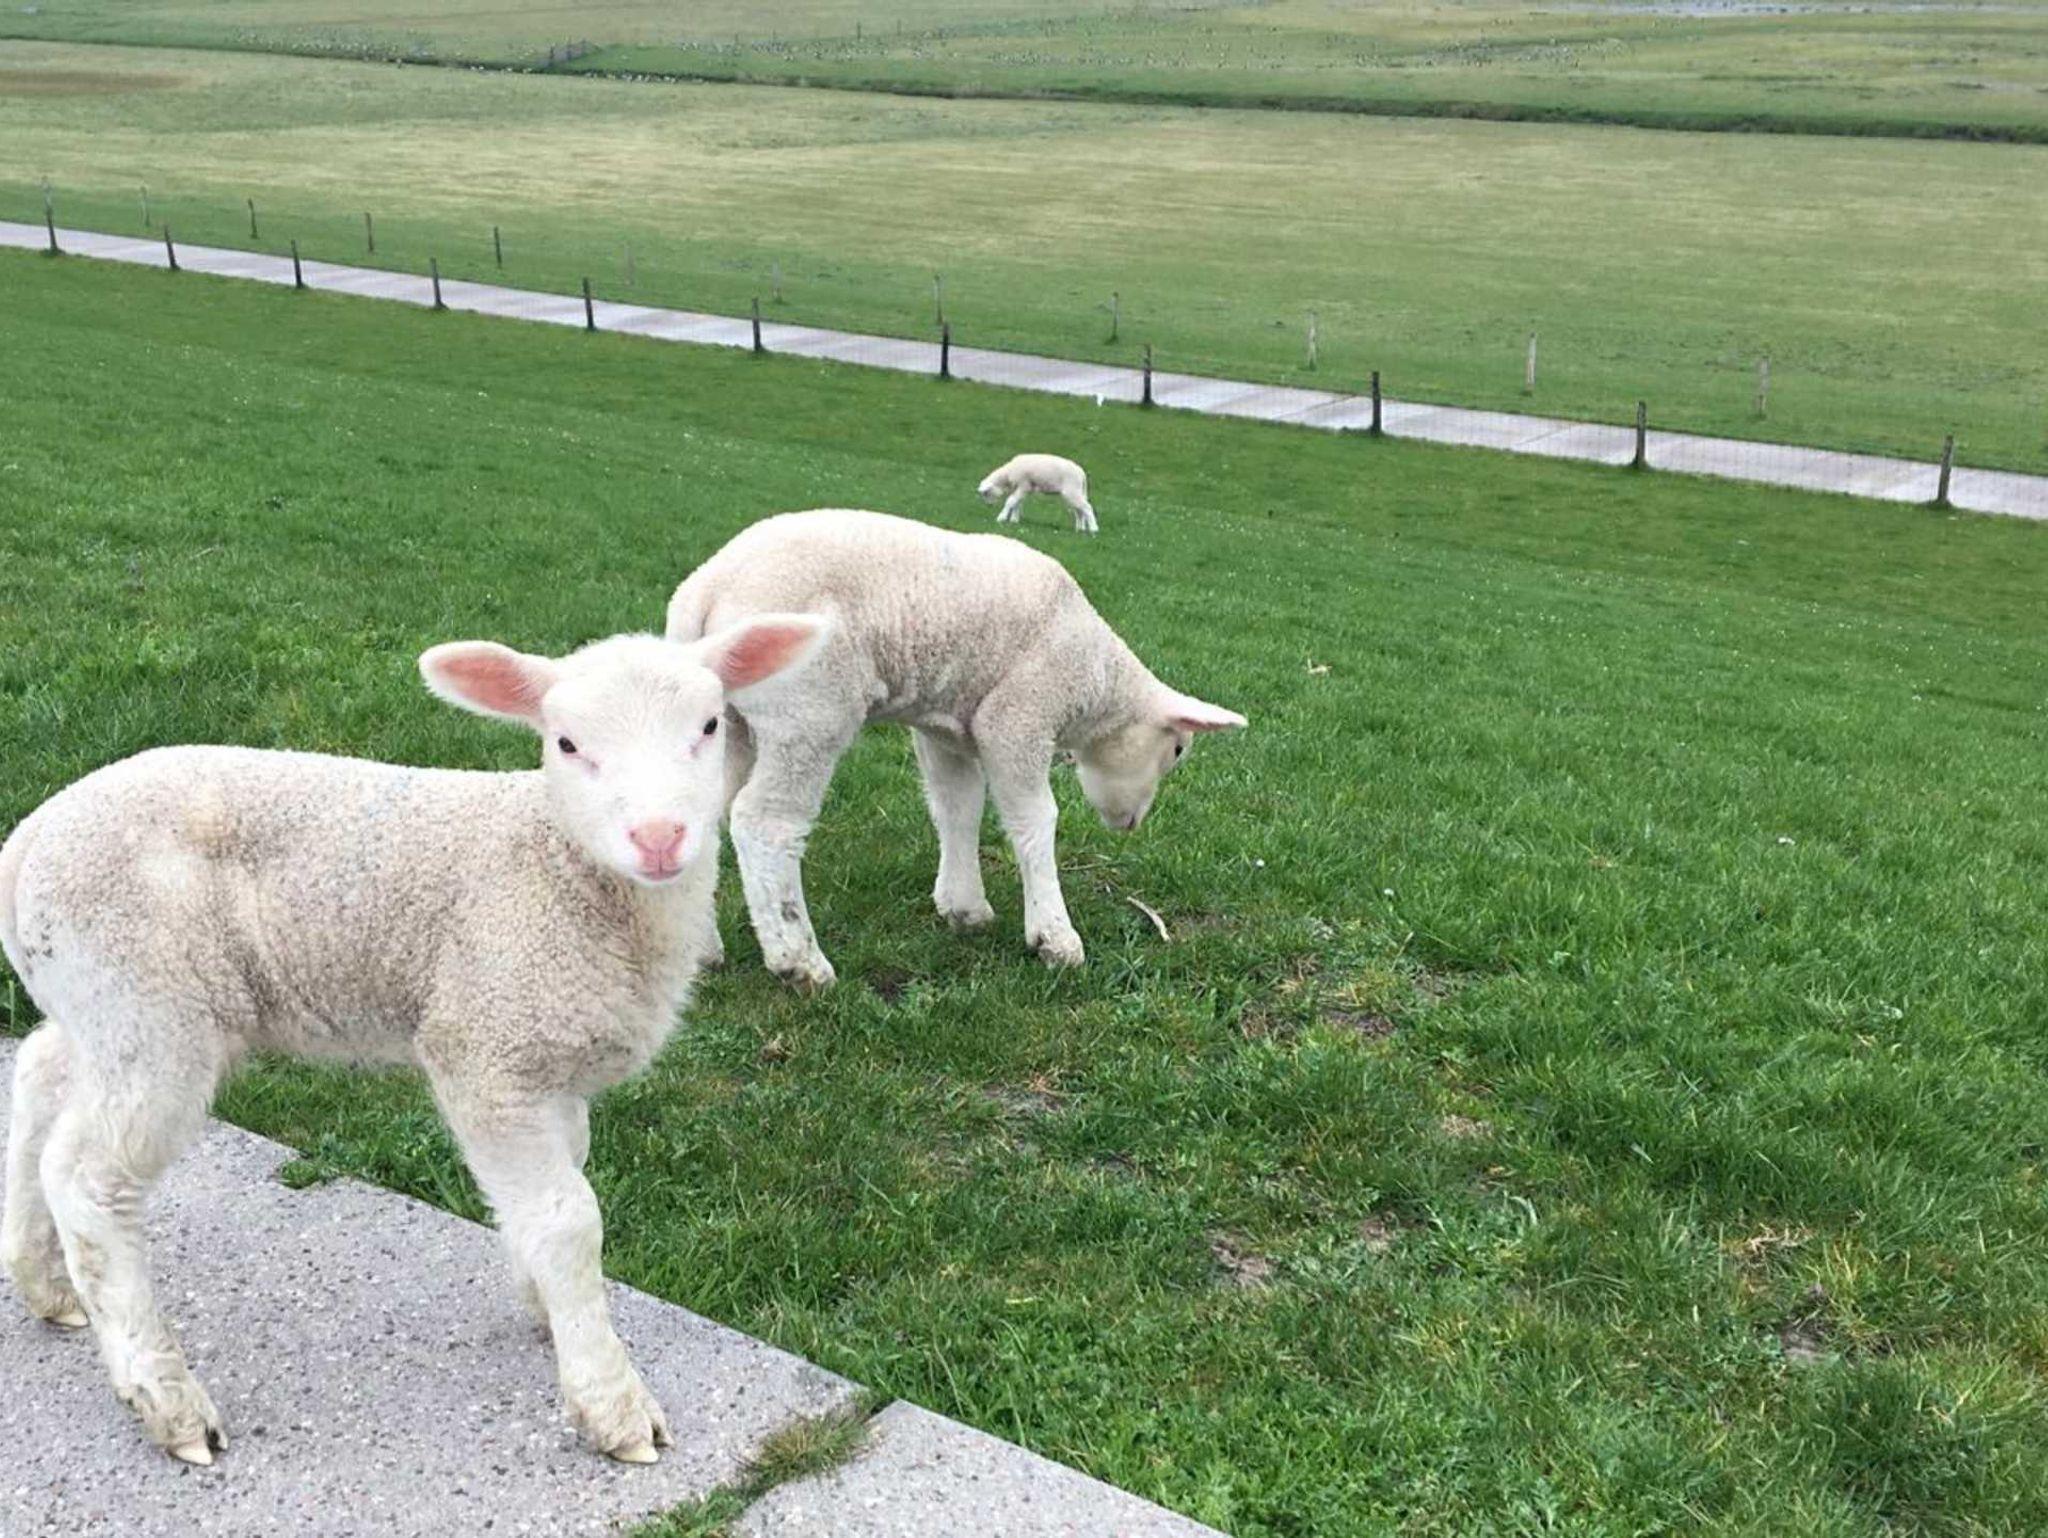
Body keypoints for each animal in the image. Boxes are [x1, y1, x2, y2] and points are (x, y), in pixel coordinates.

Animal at [0, 615, 826, 1467]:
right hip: (149, 1005)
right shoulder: (485, 1048)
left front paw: (546, 1303)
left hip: (98, 1005)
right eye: (565, 743)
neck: (554, 865)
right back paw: (166, 1400)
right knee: (89, 1180)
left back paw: (45, 1284)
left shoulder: (549, 1058)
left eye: (709, 726)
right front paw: (611, 1400)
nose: (660, 838)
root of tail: (29, 842)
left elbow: (560, 1181)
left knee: (38, 1077)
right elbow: (569, 1218)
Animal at [665, 509, 1245, 989]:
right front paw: (1054, 937)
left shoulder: (945, 730)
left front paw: (964, 906)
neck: (1097, 679)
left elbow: (957, 809)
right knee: (766, 824)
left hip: (728, 725)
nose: (1133, 824)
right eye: (1177, 750)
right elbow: (1035, 820)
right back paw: (799, 961)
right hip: (807, 711)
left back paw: (703, 952)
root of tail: (707, 592)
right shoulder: (1016, 717)